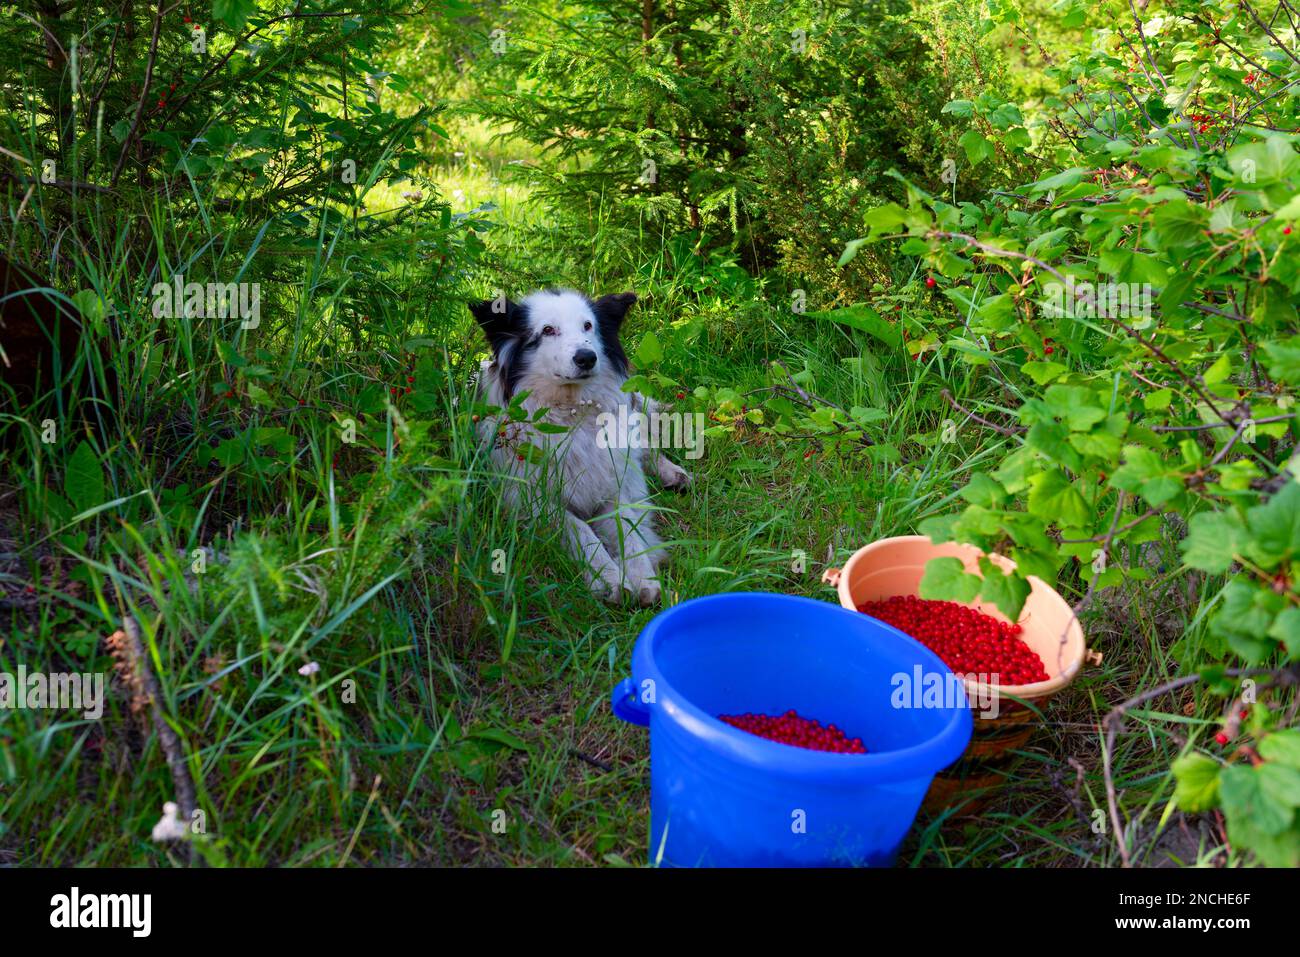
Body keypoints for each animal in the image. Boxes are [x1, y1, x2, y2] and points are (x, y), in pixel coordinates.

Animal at [467, 291, 691, 605]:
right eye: (547, 330)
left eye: (588, 326)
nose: (586, 357)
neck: (571, 415)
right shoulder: (531, 500)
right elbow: (579, 529)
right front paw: (610, 578)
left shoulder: (613, 486)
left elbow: (629, 529)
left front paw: (644, 578)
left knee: (645, 448)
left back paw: (672, 473)